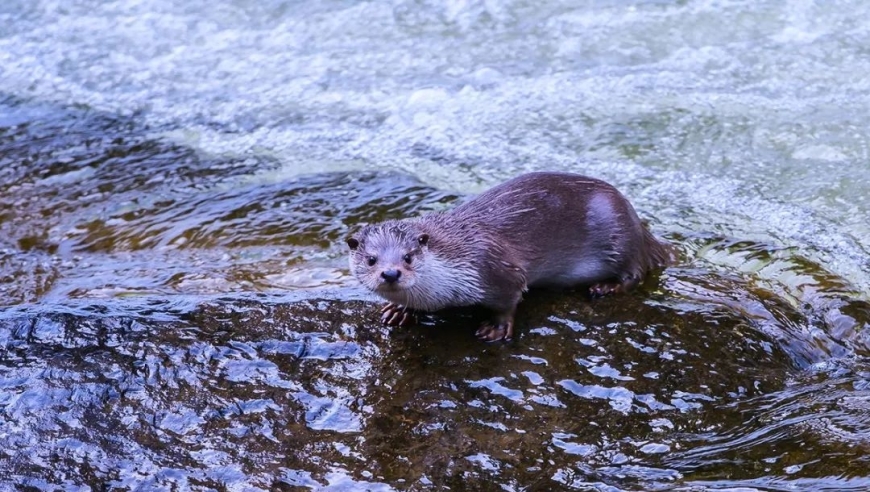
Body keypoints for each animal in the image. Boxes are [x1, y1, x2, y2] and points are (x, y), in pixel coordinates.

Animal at [346, 171, 676, 340]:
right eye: (372, 259)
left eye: (408, 257)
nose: (390, 273)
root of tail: (640, 225)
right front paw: (400, 311)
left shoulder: (493, 266)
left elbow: (510, 298)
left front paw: (496, 327)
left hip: (619, 235)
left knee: (635, 272)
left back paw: (606, 287)